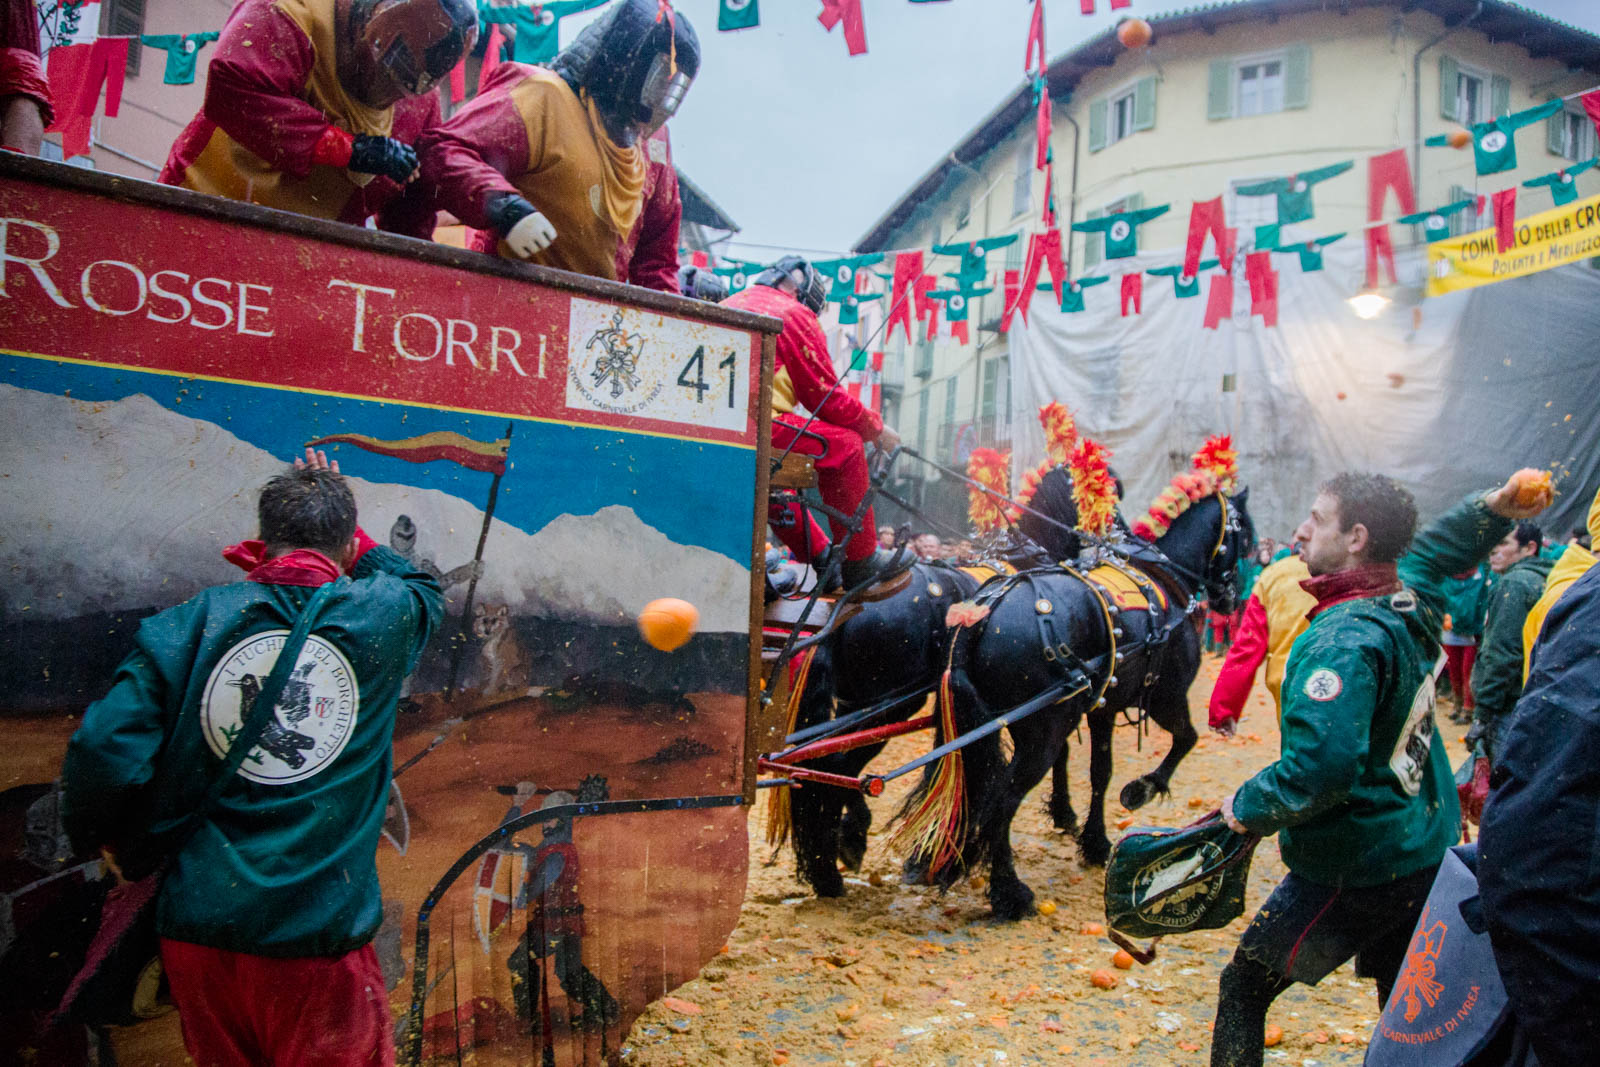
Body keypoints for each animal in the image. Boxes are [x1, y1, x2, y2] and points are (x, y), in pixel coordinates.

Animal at [908, 483, 1254, 921]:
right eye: (1244, 539)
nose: (1230, 600)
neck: (1165, 579)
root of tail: (982, 611)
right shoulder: (1167, 697)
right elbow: (1186, 739)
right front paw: (1142, 789)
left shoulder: (1103, 706)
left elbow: (1099, 772)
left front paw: (1092, 838)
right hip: (1042, 731)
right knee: (1003, 799)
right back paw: (1008, 891)